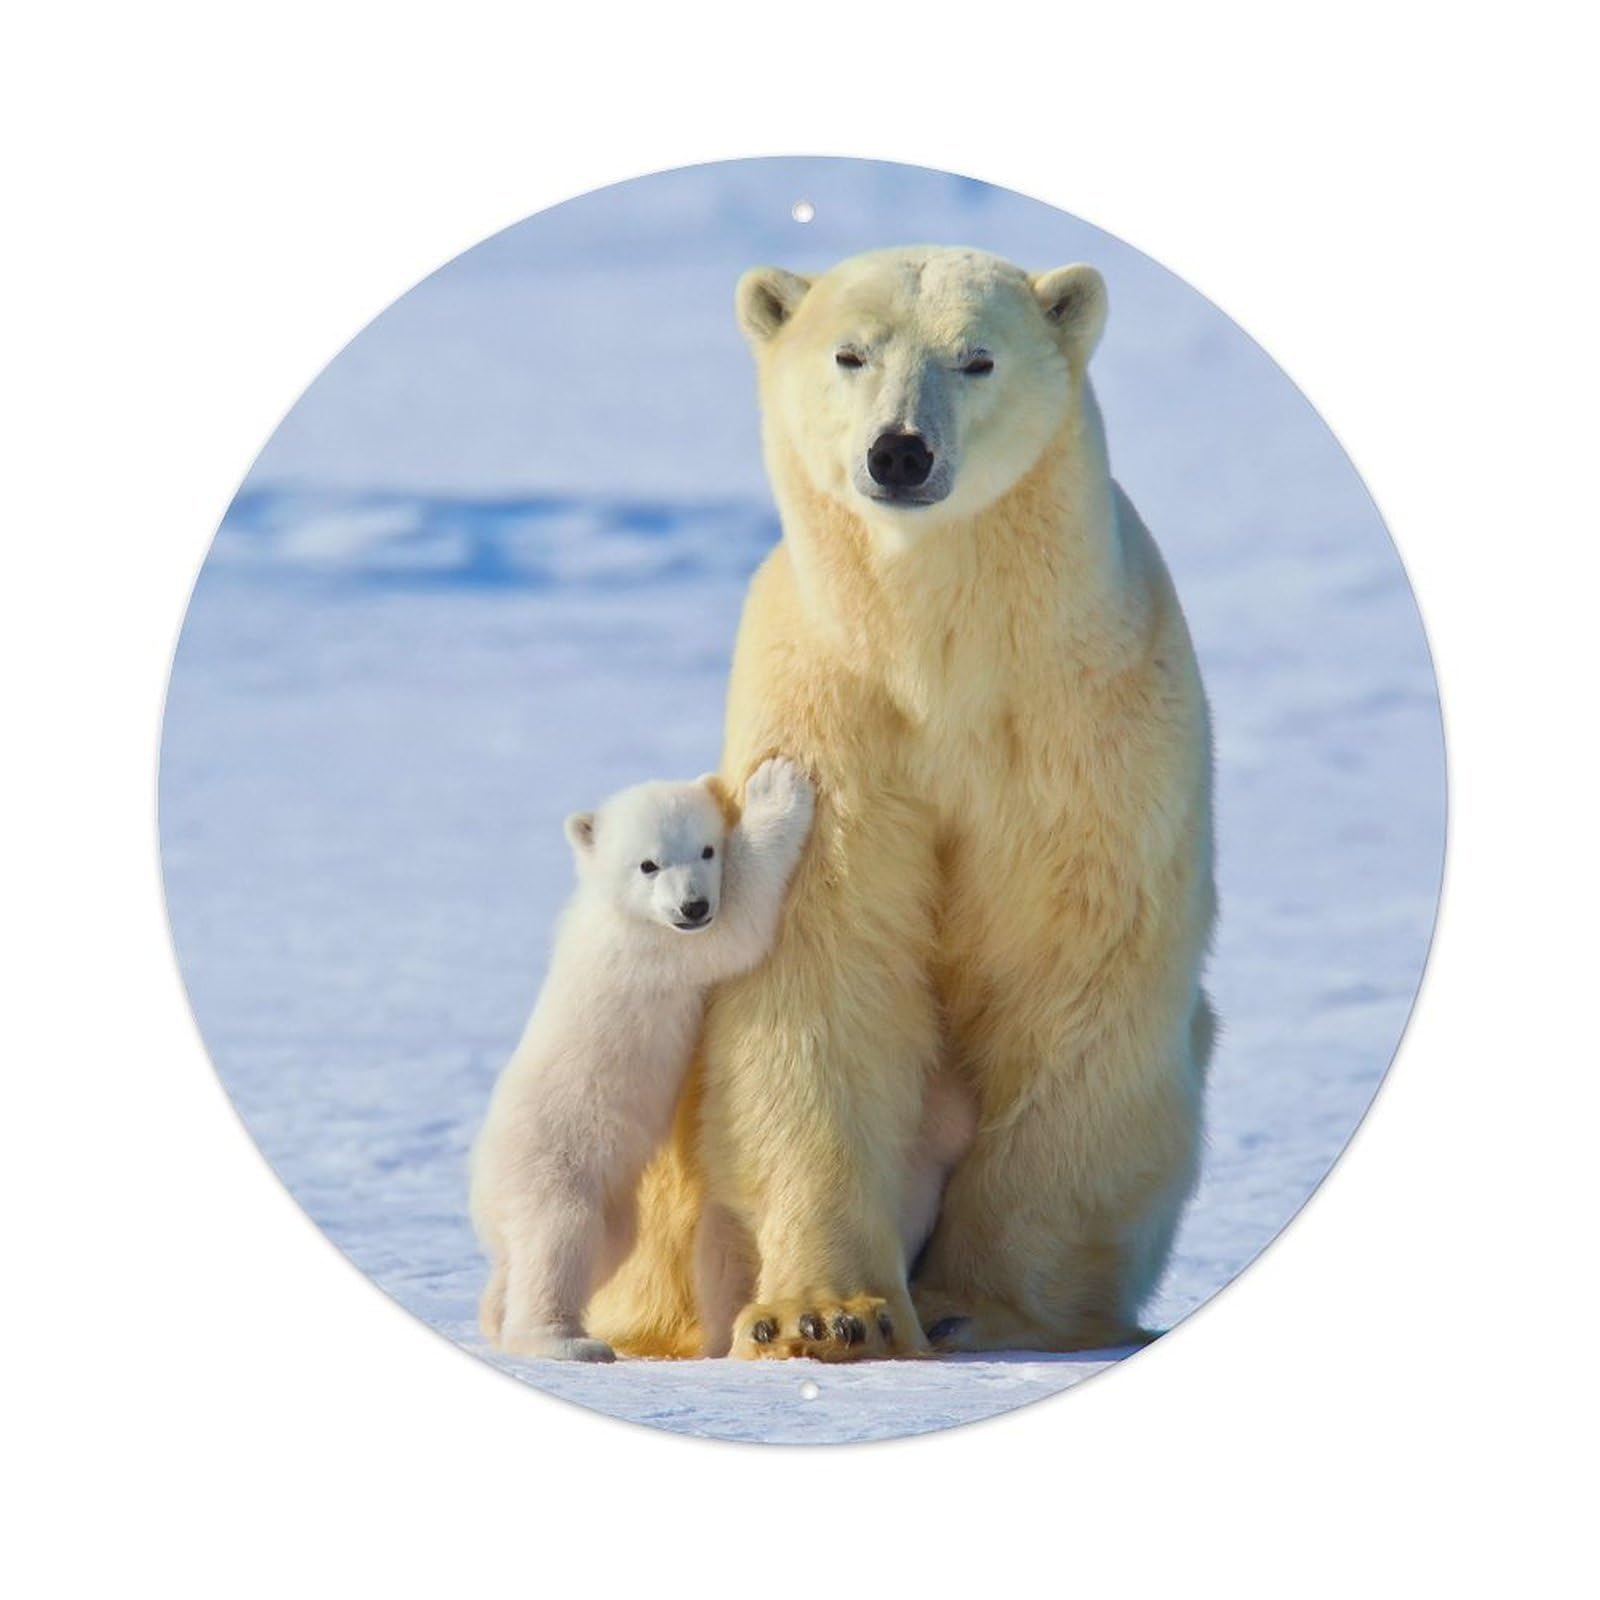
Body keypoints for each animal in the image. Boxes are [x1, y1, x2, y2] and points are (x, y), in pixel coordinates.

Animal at [469, 758, 814, 1361]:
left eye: (705, 849)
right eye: (649, 864)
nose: (692, 905)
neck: (615, 910)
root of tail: (480, 1187)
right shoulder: (656, 950)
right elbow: (737, 925)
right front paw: (775, 788)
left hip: (609, 1203)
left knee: (594, 1248)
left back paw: (497, 1313)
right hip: (552, 1161)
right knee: (558, 1237)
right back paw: (566, 1341)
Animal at [586, 245, 1216, 1361]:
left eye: (976, 357)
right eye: (851, 353)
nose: (900, 453)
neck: (942, 654)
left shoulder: (1087, 723)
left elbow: (1075, 967)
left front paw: (986, 1305)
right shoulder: (830, 717)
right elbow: (822, 971)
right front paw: (831, 1312)